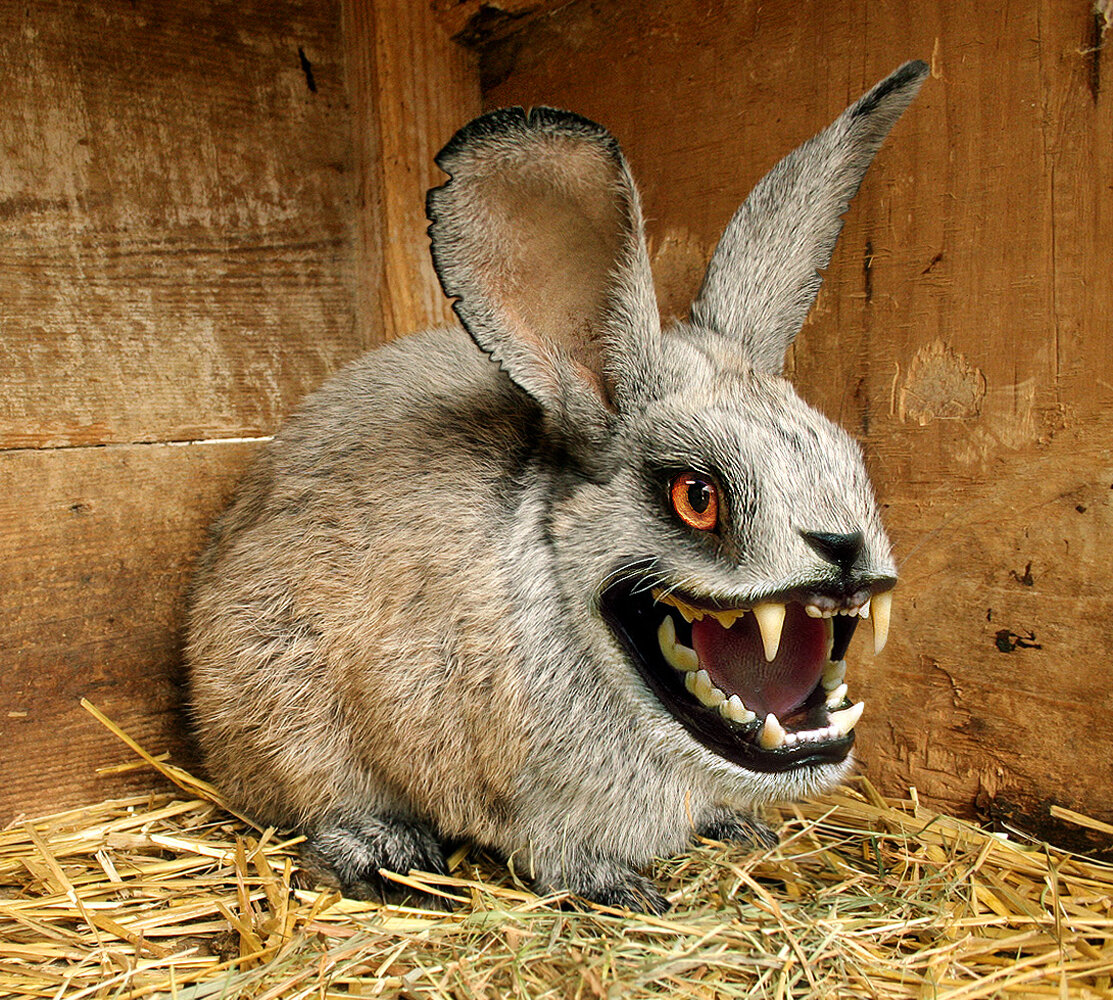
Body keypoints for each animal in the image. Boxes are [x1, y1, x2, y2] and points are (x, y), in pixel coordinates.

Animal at [187, 61, 928, 914]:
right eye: (694, 496)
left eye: (848, 457)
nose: (844, 551)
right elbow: (550, 850)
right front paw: (621, 889)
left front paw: (735, 828)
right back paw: (382, 851)